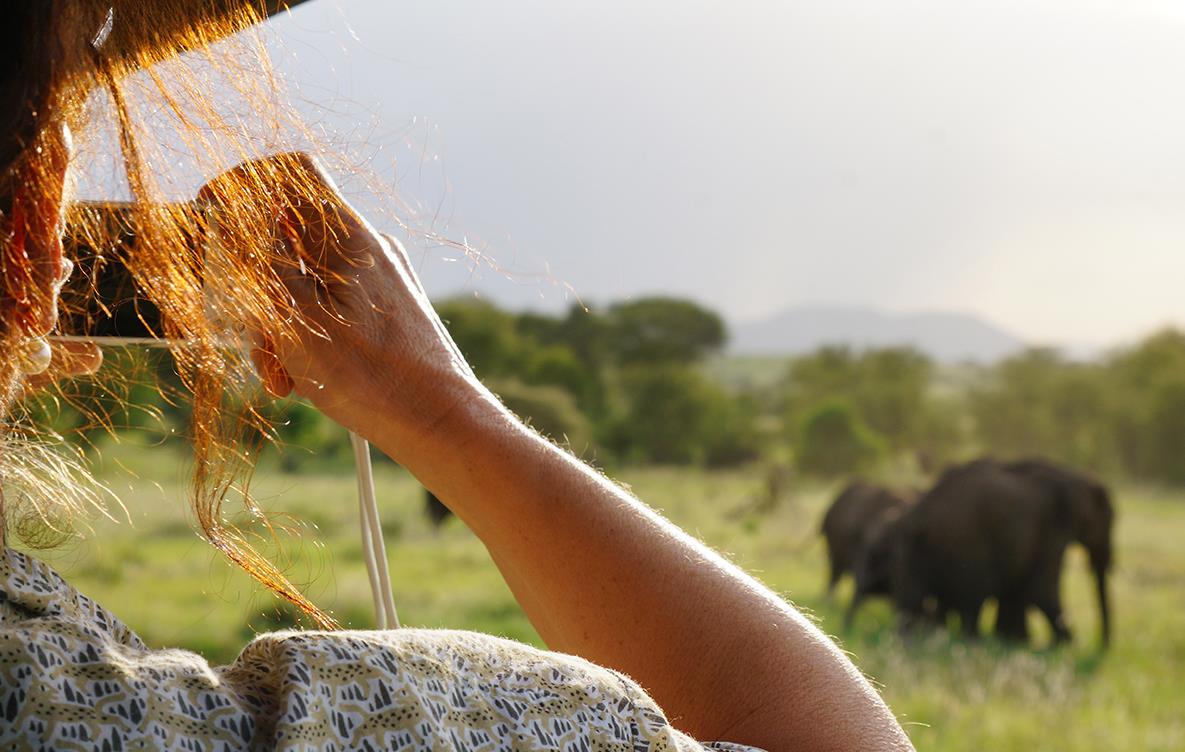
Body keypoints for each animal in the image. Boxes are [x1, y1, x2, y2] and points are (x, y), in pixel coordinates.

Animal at [891, 457, 1113, 648]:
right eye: (1109, 519)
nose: (1101, 648)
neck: (1074, 476)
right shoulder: (1054, 527)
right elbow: (1041, 590)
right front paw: (1061, 647)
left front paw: (1014, 641)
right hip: (965, 541)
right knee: (974, 594)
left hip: (915, 548)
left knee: (914, 598)